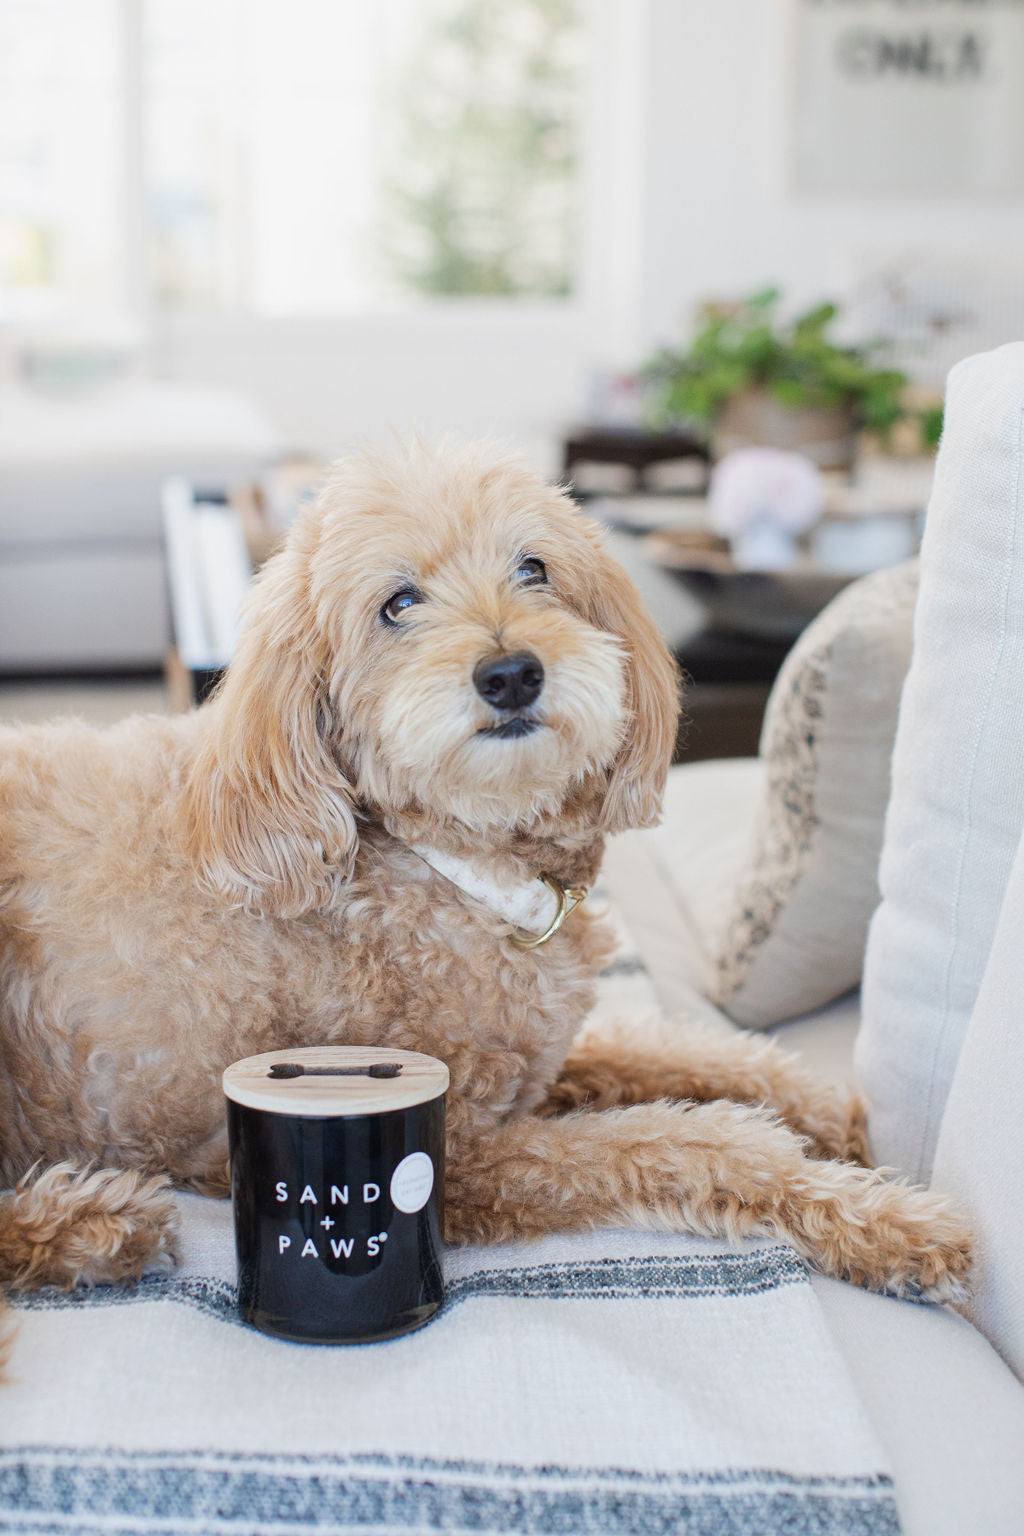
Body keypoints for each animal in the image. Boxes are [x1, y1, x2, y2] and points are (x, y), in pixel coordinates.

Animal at [0, 440, 971, 1361]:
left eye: (534, 568)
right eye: (398, 604)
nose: (510, 673)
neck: (459, 871)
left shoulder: (539, 1063)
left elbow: (686, 1053)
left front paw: (832, 1112)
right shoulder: (465, 1153)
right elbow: (696, 1140)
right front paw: (891, 1224)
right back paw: (90, 1225)